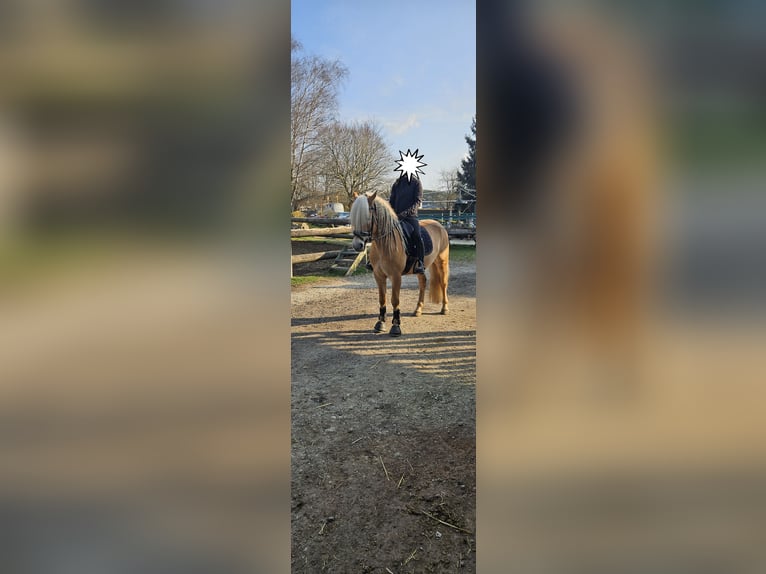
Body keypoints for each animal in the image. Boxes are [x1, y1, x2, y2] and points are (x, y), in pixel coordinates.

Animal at [349, 191, 450, 336]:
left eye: (367, 217)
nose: (357, 245)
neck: (385, 244)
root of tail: (439, 225)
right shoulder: (378, 275)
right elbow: (382, 299)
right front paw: (380, 324)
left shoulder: (396, 276)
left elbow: (395, 300)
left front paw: (396, 326)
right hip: (420, 267)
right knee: (423, 282)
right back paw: (418, 309)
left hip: (442, 262)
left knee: (443, 283)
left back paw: (445, 308)